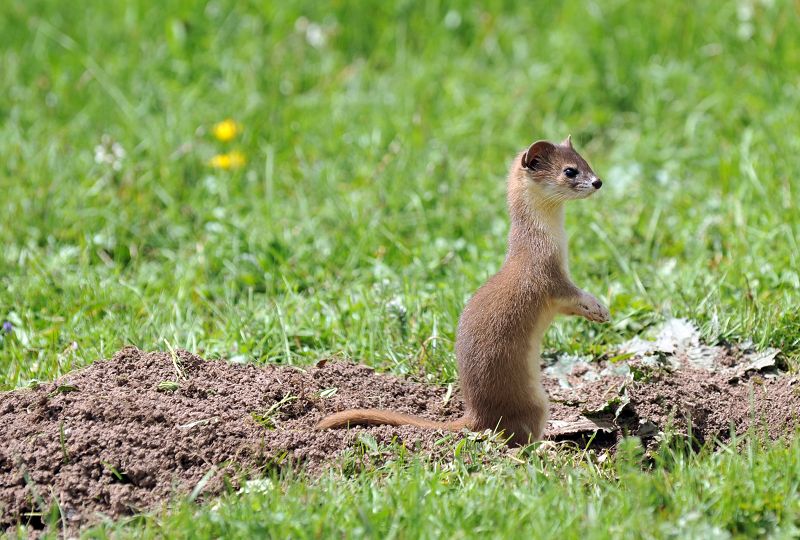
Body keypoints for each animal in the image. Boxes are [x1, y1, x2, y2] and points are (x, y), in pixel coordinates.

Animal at [316, 137, 608, 446]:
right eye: (570, 171)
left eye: (585, 161)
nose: (598, 181)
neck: (551, 243)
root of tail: (474, 413)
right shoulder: (548, 276)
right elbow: (572, 294)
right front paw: (599, 307)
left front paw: (598, 313)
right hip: (536, 402)